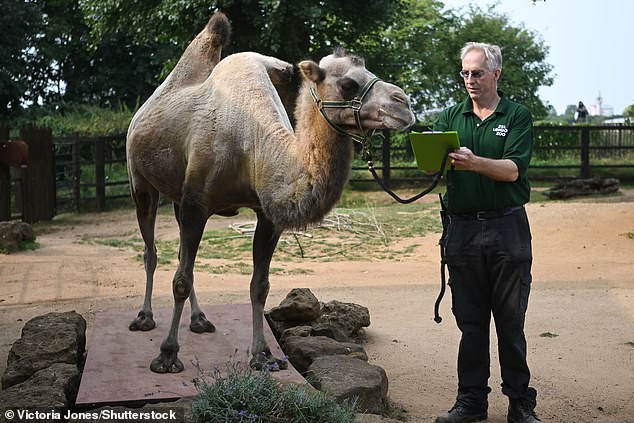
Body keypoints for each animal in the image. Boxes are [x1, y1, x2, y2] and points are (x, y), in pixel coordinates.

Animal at [126, 10, 414, 374]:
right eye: (348, 83)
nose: (405, 104)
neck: (253, 145)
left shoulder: (266, 215)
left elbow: (259, 286)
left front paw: (263, 355)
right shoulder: (196, 204)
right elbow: (180, 280)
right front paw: (166, 355)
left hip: (177, 196)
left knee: (179, 255)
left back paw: (200, 320)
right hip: (140, 181)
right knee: (151, 251)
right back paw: (144, 318)